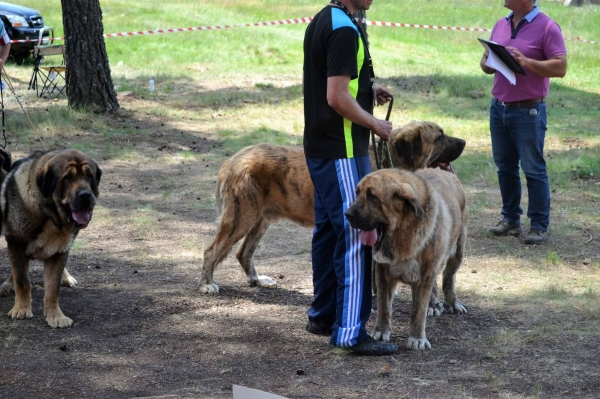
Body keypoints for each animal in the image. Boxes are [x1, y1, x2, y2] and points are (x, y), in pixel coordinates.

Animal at [0, 150, 101, 328]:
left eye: (90, 177)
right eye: (67, 178)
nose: (86, 195)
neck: (50, 215)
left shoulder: (59, 252)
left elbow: (53, 289)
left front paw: (55, 316)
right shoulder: (16, 245)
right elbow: (22, 280)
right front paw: (21, 309)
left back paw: (66, 277)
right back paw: (9, 283)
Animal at [199, 122, 466, 294]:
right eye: (440, 137)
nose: (464, 141)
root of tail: (231, 161)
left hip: (259, 221)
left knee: (243, 252)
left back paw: (256, 279)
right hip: (241, 218)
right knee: (211, 251)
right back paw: (206, 284)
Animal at [342, 168, 468, 350]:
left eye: (372, 196)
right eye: (357, 193)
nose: (347, 214)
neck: (401, 234)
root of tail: (444, 171)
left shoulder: (425, 275)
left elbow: (418, 310)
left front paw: (417, 338)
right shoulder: (382, 272)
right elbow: (383, 305)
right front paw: (381, 331)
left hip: (458, 251)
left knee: (448, 277)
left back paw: (451, 303)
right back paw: (433, 304)